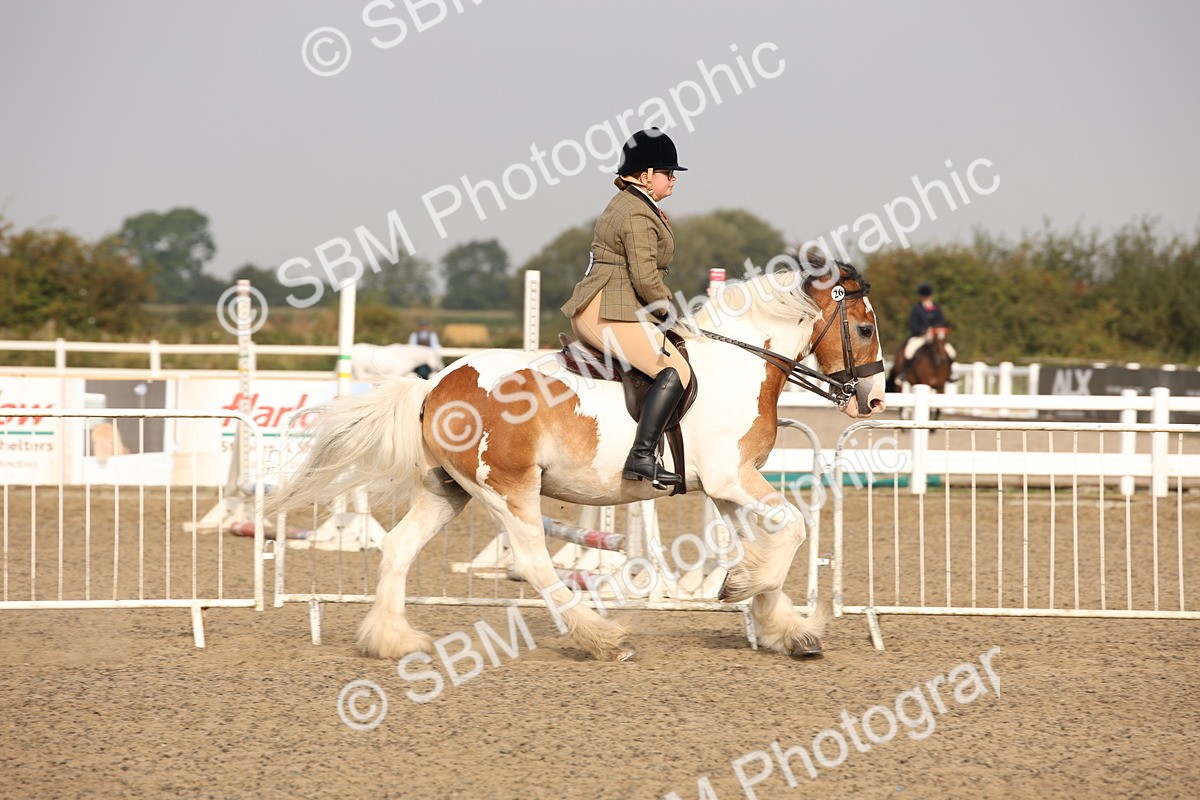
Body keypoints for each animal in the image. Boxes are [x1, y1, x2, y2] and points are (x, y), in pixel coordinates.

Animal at [267, 261, 887, 662]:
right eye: (863, 327)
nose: (874, 401)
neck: (739, 366)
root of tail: (436, 385)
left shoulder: (725, 487)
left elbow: (763, 546)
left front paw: (782, 625)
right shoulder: (731, 478)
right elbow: (794, 528)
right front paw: (745, 595)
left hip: (448, 489)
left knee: (397, 548)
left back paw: (391, 641)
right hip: (508, 490)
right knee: (535, 563)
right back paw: (600, 636)